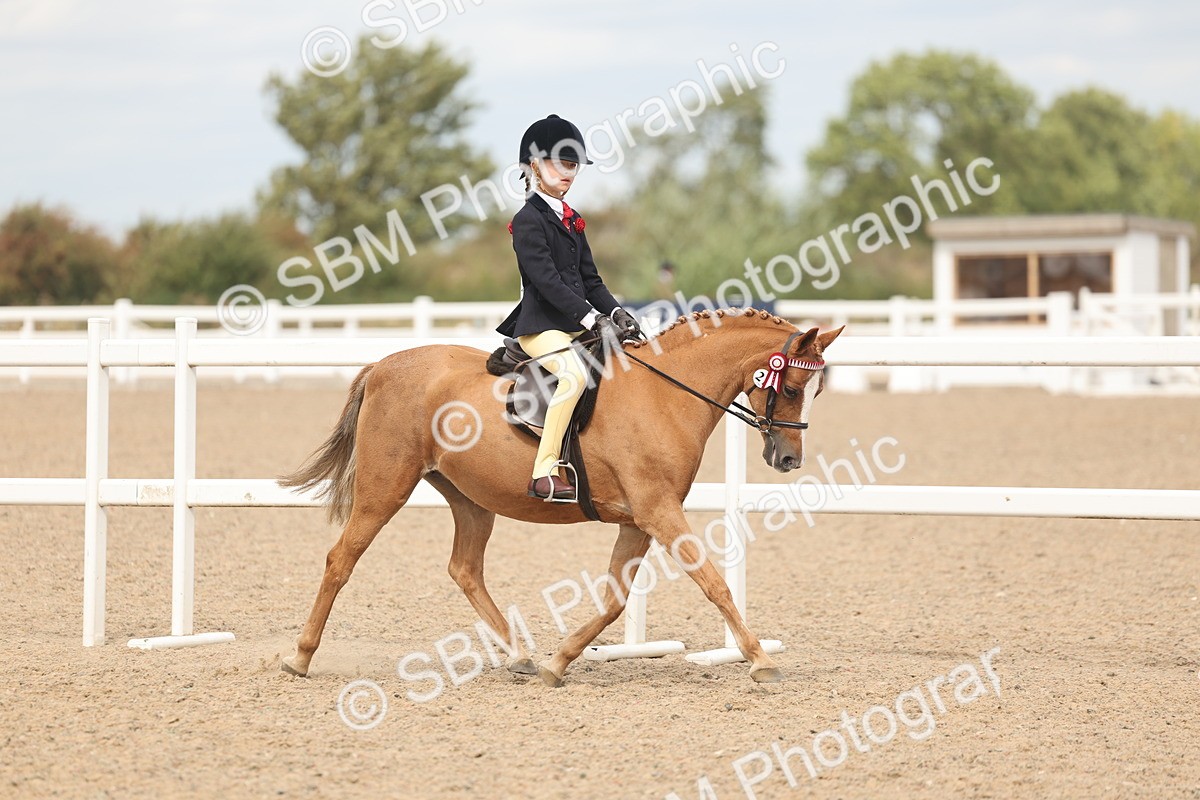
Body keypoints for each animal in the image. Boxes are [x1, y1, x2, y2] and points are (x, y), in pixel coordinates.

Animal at [278, 307, 843, 686]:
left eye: (815, 392)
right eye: (793, 388)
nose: (788, 460)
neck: (665, 395)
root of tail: (382, 365)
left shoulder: (639, 518)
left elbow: (615, 599)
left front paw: (559, 661)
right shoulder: (659, 511)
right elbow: (714, 583)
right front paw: (761, 660)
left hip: (469, 497)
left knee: (464, 569)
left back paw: (520, 657)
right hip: (385, 488)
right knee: (341, 559)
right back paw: (300, 657)